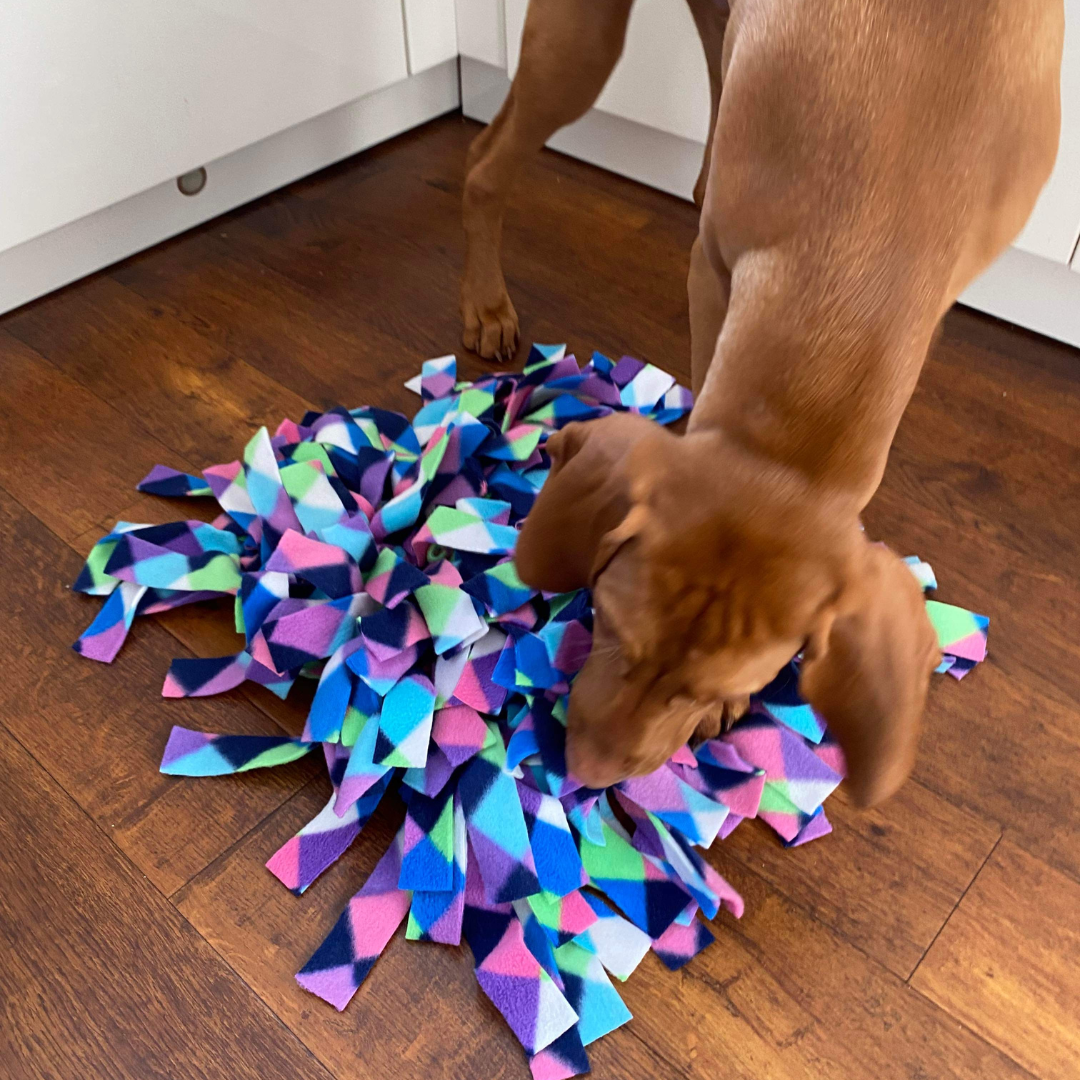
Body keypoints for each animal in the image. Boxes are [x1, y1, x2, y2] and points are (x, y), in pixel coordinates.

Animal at [462, 0, 1062, 803]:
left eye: (711, 688)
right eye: (607, 620)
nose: (582, 775)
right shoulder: (716, 269)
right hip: (578, 44)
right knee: (485, 161)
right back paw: (484, 302)